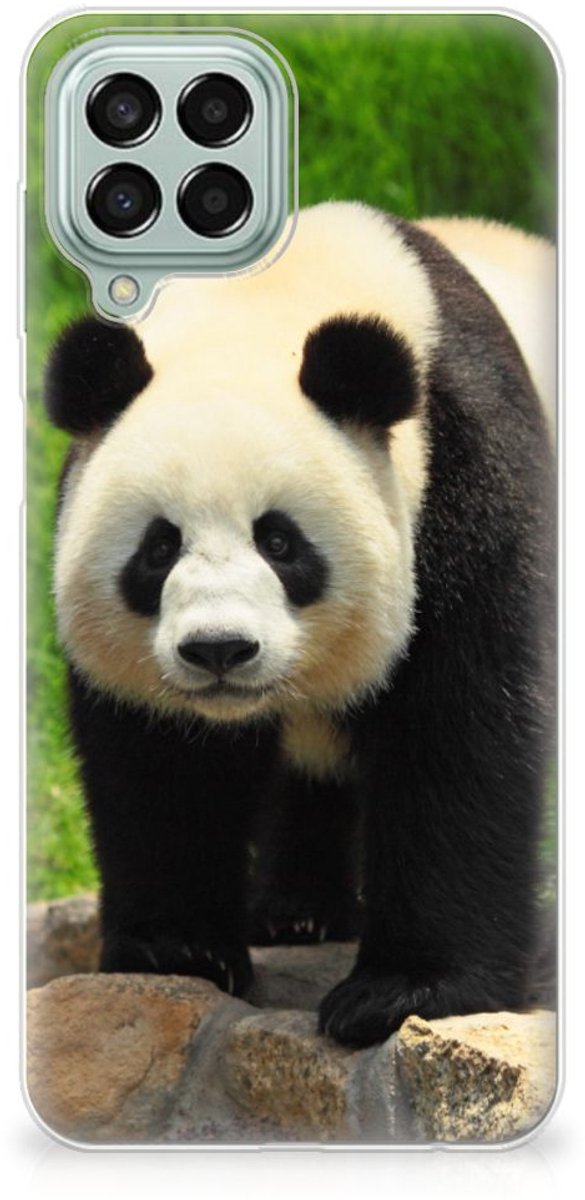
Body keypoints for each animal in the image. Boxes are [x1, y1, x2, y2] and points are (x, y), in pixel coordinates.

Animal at [45, 203, 555, 1048]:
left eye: (280, 542)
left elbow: (460, 730)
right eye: (158, 548)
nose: (218, 650)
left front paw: (403, 991)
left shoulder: (467, 477)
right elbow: (161, 762)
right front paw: (177, 949)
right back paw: (296, 912)